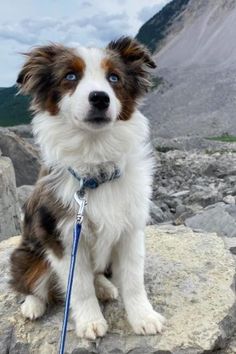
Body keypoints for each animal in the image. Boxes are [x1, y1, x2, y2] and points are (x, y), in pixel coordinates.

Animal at [10, 37, 165, 338]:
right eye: (70, 76)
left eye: (114, 78)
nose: (100, 98)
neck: (94, 167)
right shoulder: (61, 235)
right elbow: (78, 286)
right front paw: (90, 321)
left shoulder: (130, 230)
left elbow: (133, 279)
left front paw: (143, 316)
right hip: (28, 251)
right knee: (31, 281)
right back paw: (33, 304)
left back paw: (104, 287)